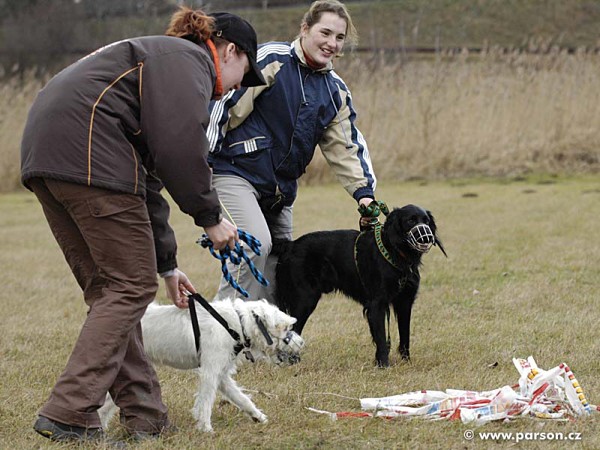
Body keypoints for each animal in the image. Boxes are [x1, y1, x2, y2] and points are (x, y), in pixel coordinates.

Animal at [100, 298, 304, 432]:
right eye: (286, 328)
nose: (301, 343)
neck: (236, 324)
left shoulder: (222, 375)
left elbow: (241, 398)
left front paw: (258, 417)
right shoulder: (210, 373)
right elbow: (206, 401)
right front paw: (206, 429)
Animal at [274, 206, 442, 368]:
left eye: (426, 221)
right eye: (410, 221)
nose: (427, 237)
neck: (395, 253)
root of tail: (290, 245)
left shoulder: (405, 303)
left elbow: (405, 336)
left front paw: (406, 362)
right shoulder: (376, 304)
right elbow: (381, 338)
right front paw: (383, 365)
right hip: (305, 300)